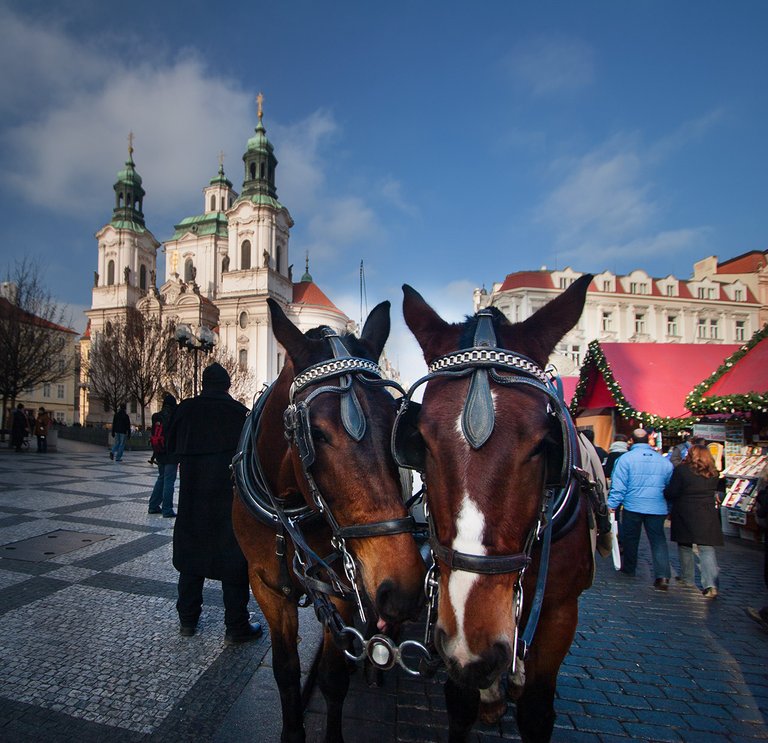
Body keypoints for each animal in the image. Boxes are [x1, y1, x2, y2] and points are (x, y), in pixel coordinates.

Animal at [231, 300, 428, 743]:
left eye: (396, 424)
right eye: (316, 434)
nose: (402, 587)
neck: (287, 513)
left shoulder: (342, 587)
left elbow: (332, 678)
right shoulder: (267, 587)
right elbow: (286, 673)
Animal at [392, 278, 608, 743]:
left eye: (544, 445)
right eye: (421, 441)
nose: (475, 641)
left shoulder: (560, 613)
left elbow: (537, 712)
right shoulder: (450, 624)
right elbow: (459, 702)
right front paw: (482, 693)